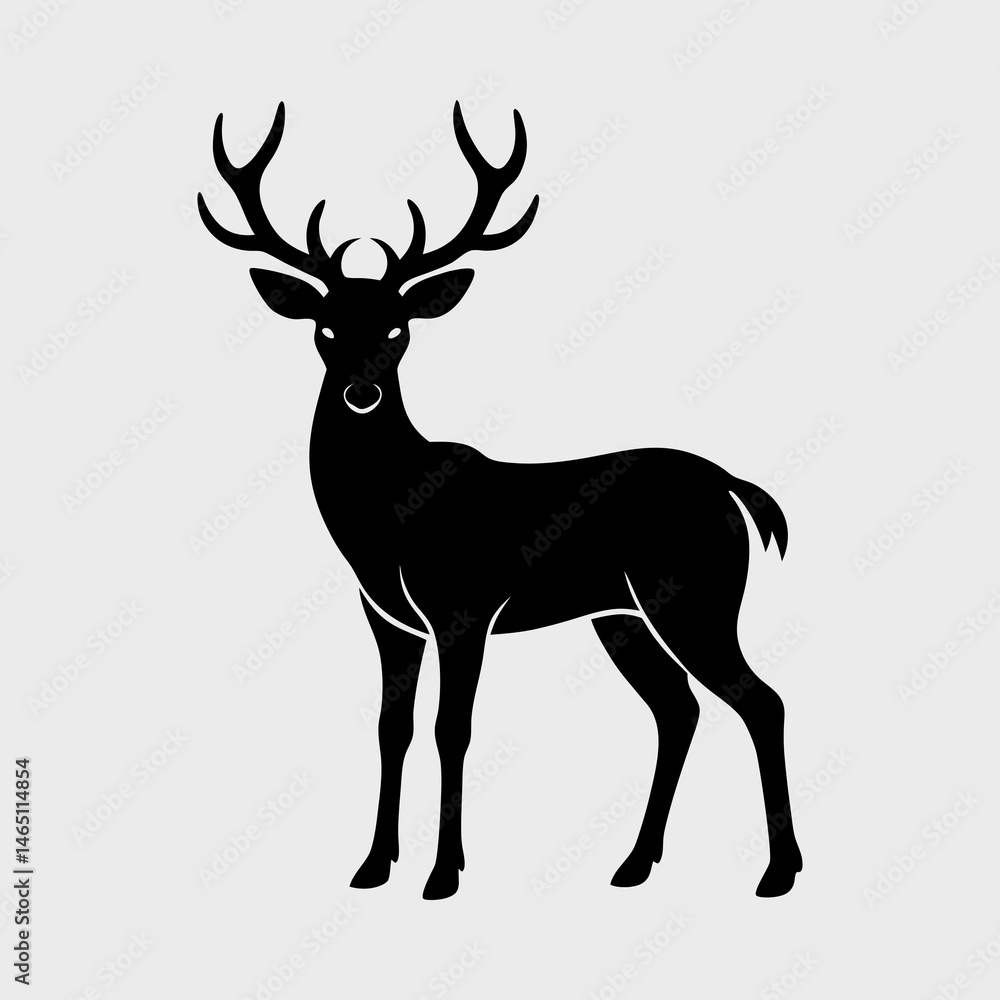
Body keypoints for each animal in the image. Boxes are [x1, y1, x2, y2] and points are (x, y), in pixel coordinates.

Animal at [199, 101, 803, 900]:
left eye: (399, 326)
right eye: (325, 326)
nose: (361, 392)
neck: (386, 519)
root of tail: (735, 486)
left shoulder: (465, 604)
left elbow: (450, 729)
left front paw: (443, 873)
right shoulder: (385, 615)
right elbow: (392, 728)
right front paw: (372, 865)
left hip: (693, 593)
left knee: (761, 700)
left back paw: (778, 870)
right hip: (620, 614)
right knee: (678, 707)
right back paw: (635, 863)